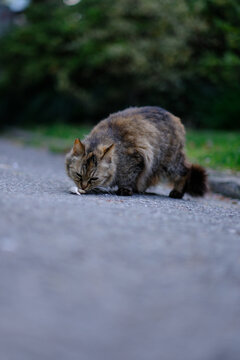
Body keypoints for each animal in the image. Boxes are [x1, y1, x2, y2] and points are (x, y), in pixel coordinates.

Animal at [64, 105, 207, 198]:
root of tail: (174, 117)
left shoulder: (137, 158)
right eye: (78, 175)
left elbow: (129, 177)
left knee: (185, 171)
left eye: (94, 178)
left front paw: (125, 189)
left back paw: (177, 192)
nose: (83, 187)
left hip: (171, 162)